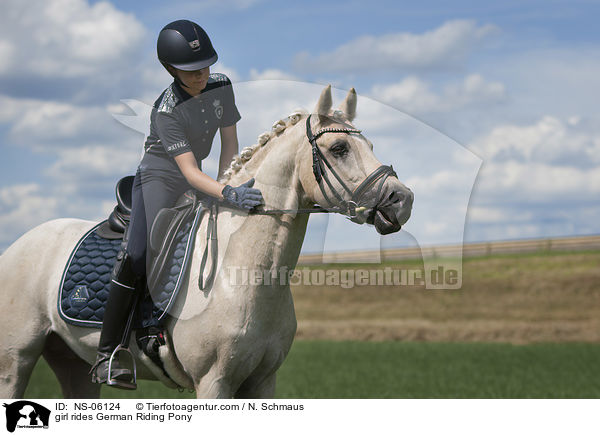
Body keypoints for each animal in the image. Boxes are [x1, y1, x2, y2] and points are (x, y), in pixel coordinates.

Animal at [0, 87, 412, 400]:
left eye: (370, 143)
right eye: (340, 148)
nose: (401, 199)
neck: (243, 273)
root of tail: (17, 245)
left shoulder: (262, 382)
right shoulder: (214, 383)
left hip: (70, 362)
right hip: (15, 361)